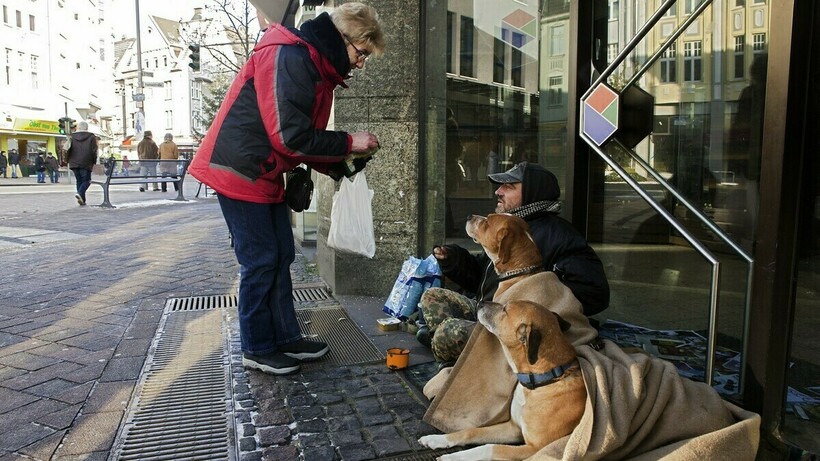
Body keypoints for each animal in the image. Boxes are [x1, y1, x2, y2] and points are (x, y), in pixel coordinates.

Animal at [420, 300, 588, 458]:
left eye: (505, 309)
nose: (480, 302)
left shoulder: (534, 449)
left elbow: (489, 448)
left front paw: (452, 457)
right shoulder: (513, 428)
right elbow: (472, 431)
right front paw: (437, 439)